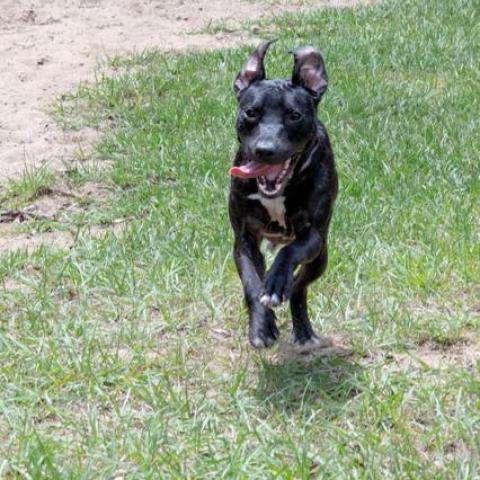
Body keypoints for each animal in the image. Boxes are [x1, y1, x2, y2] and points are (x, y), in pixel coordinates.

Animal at [229, 41, 338, 348]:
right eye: (251, 112)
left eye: (294, 115)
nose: (265, 149)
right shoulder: (244, 240)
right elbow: (252, 284)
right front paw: (261, 328)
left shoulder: (313, 236)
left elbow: (290, 253)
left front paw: (276, 283)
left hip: (320, 258)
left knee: (299, 287)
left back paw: (301, 326)